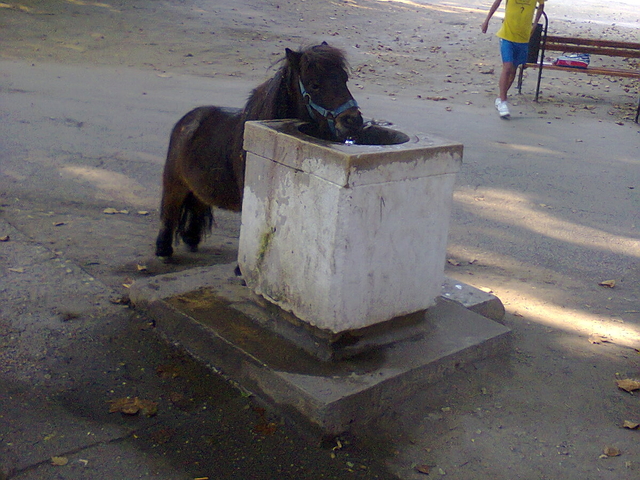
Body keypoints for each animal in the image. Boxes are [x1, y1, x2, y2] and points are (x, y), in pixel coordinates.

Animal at [156, 42, 362, 258]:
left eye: (344, 79)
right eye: (315, 84)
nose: (353, 121)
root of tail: (187, 120)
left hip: (198, 189)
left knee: (198, 204)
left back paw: (191, 239)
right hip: (174, 184)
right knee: (169, 211)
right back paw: (163, 250)